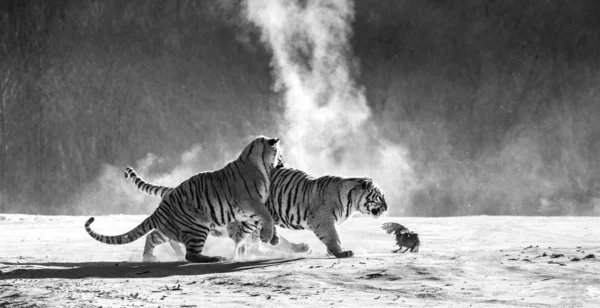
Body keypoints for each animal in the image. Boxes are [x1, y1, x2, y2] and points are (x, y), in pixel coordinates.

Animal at [82, 137, 286, 262]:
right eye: (280, 153)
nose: (283, 162)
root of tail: (160, 208)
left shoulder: (246, 211)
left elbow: (261, 221)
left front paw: (272, 238)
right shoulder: (250, 203)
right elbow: (266, 216)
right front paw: (268, 236)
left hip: (169, 229)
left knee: (152, 236)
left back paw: (149, 257)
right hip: (198, 224)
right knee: (191, 255)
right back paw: (214, 258)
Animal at [126, 165, 390, 258]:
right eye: (380, 195)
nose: (388, 207)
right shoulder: (324, 221)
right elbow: (333, 238)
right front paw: (341, 252)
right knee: (156, 235)